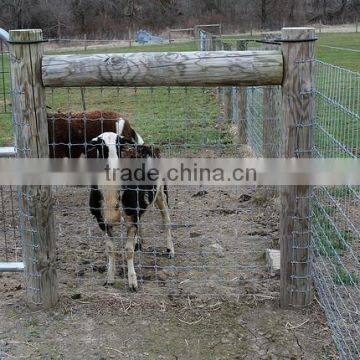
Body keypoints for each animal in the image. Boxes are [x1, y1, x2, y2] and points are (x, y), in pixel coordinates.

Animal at [89, 131, 175, 290]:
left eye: (119, 145)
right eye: (101, 146)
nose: (112, 167)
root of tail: (145, 146)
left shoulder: (131, 216)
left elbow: (128, 251)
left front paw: (133, 282)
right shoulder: (102, 221)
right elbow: (110, 249)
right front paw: (109, 278)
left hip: (161, 192)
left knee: (166, 220)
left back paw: (170, 250)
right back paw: (139, 243)